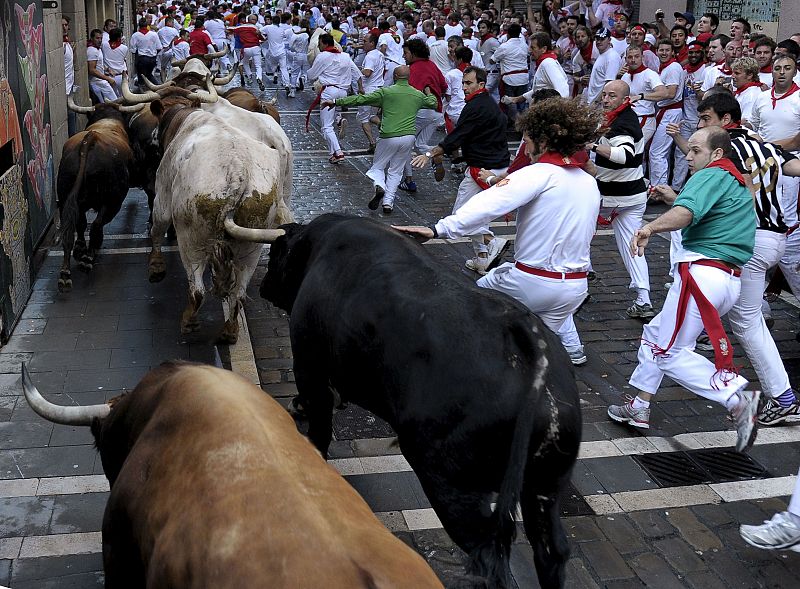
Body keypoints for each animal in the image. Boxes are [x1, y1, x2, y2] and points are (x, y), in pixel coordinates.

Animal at [260, 214, 580, 584]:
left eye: (276, 253)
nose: (263, 287)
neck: (319, 246)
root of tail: (525, 334)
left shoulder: (308, 362)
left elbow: (320, 427)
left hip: (452, 485)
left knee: (489, 557)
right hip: (544, 487)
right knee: (552, 551)